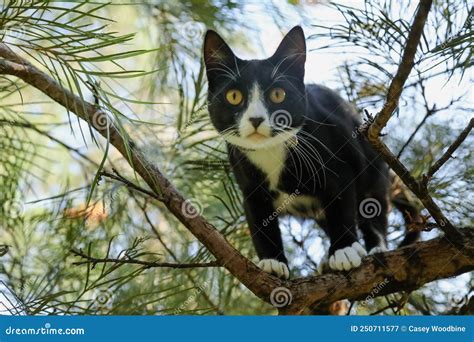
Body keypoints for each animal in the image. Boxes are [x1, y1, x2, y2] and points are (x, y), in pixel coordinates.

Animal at [202, 26, 390, 278]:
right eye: (234, 96)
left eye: (278, 94)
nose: (256, 119)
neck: (271, 151)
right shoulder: (250, 187)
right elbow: (260, 221)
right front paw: (272, 262)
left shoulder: (337, 161)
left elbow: (341, 205)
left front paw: (344, 250)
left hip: (370, 161)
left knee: (373, 204)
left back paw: (376, 248)